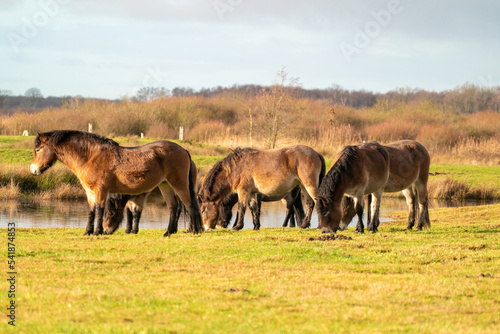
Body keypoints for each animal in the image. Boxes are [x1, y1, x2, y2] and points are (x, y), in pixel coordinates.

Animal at [30, 129, 203, 236]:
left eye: (38, 150)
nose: (33, 170)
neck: (90, 157)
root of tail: (183, 150)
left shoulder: (101, 190)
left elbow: (99, 210)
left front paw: (97, 232)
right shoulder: (89, 192)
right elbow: (91, 211)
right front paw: (87, 232)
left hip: (179, 184)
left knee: (190, 205)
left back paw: (195, 231)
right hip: (165, 185)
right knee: (173, 207)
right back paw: (168, 232)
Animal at [197, 145, 326, 231]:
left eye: (203, 210)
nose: (206, 228)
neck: (236, 168)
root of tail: (317, 153)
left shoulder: (243, 191)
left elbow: (241, 208)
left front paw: (237, 226)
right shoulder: (252, 193)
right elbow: (254, 208)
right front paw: (256, 226)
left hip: (309, 186)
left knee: (315, 202)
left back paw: (319, 226)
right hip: (303, 186)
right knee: (309, 204)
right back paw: (304, 225)